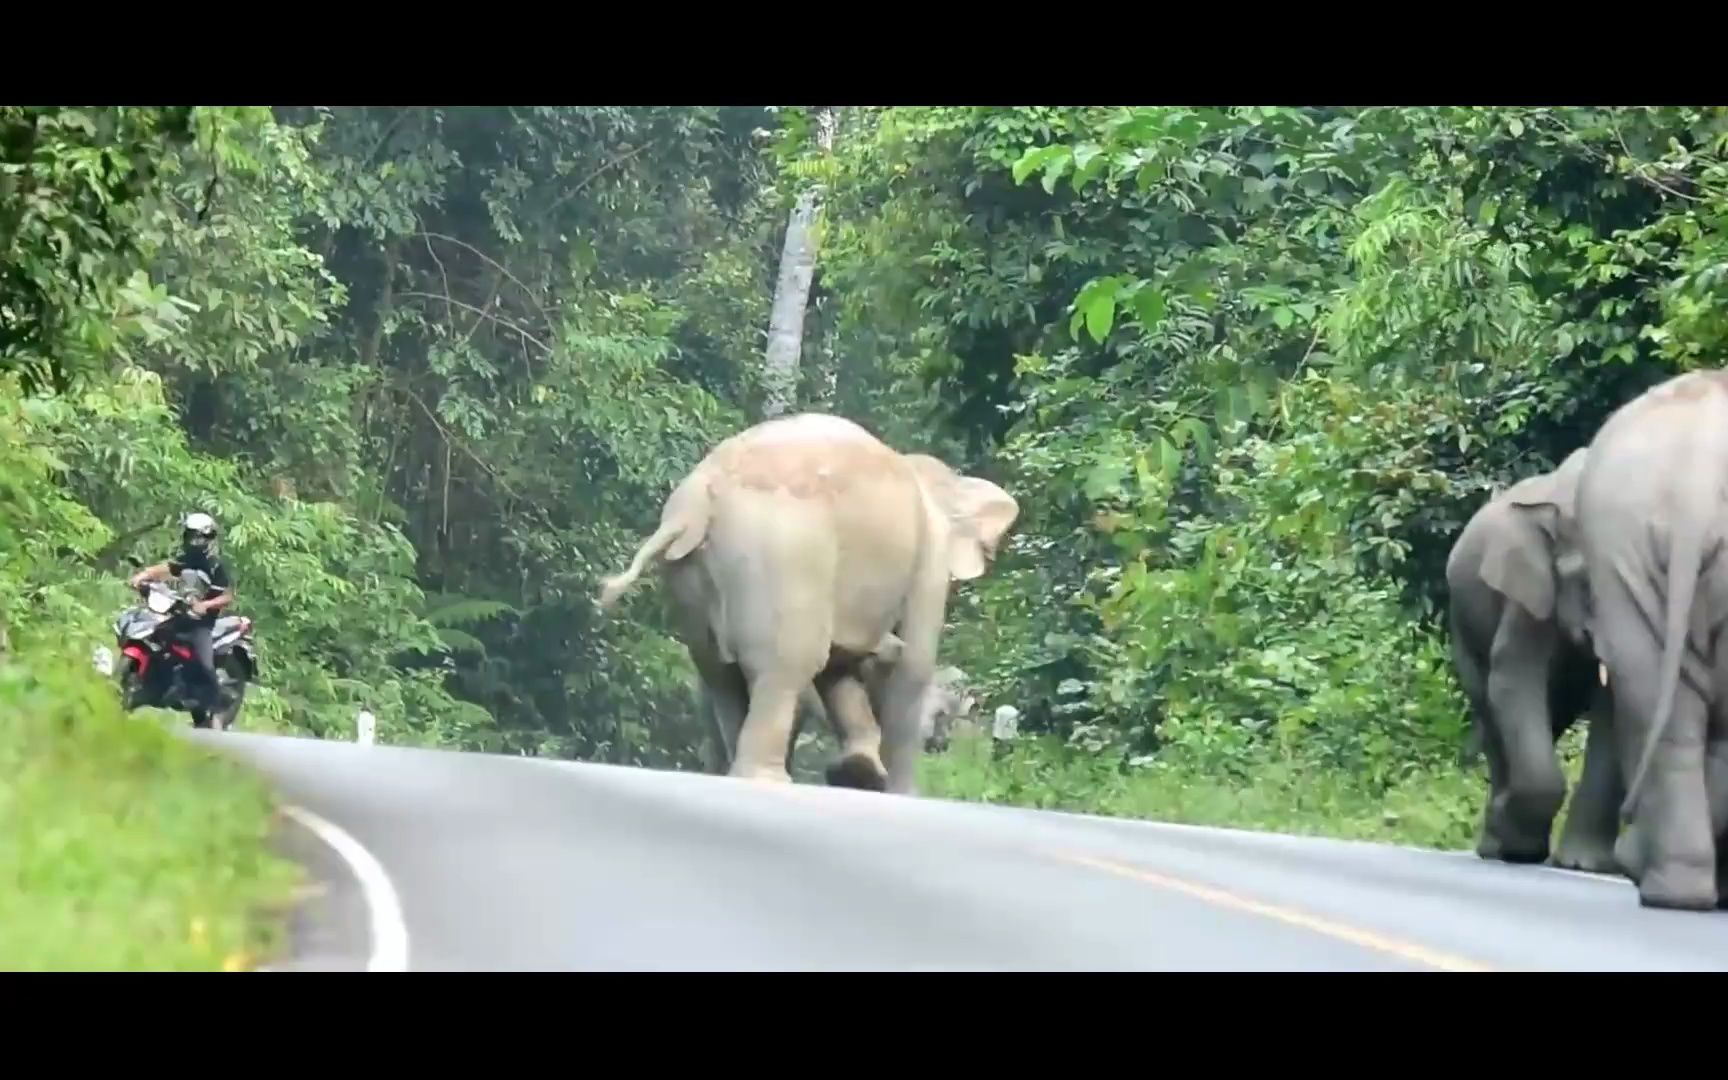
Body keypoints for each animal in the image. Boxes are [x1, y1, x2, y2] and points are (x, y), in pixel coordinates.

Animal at [601, 412, 1016, 791]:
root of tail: (695, 505)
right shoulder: (928, 560)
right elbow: (912, 666)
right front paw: (898, 792)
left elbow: (840, 669)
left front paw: (858, 773)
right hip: (781, 553)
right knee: (788, 661)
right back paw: (767, 779)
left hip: (691, 574)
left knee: (721, 672)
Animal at [1444, 445, 1617, 877]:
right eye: (1589, 580)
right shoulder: (1526, 587)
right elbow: (1512, 678)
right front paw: (1515, 839)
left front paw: (1583, 866)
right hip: (1461, 625)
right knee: (1490, 708)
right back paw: (1499, 844)